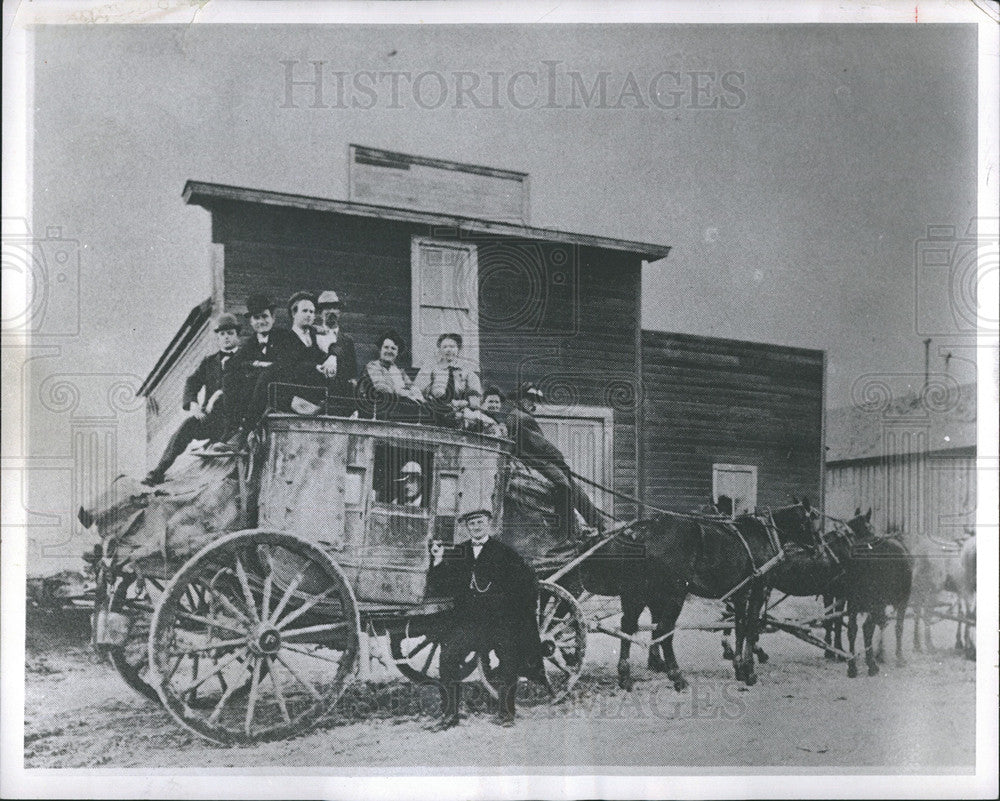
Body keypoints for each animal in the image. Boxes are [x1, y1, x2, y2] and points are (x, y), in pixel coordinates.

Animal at [576, 516, 776, 692]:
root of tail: (644, 531)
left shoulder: (740, 592)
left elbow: (740, 626)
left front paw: (739, 667)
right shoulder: (758, 588)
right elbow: (751, 627)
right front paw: (749, 670)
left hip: (637, 591)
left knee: (629, 626)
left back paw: (626, 676)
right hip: (673, 594)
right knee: (663, 629)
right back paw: (676, 676)